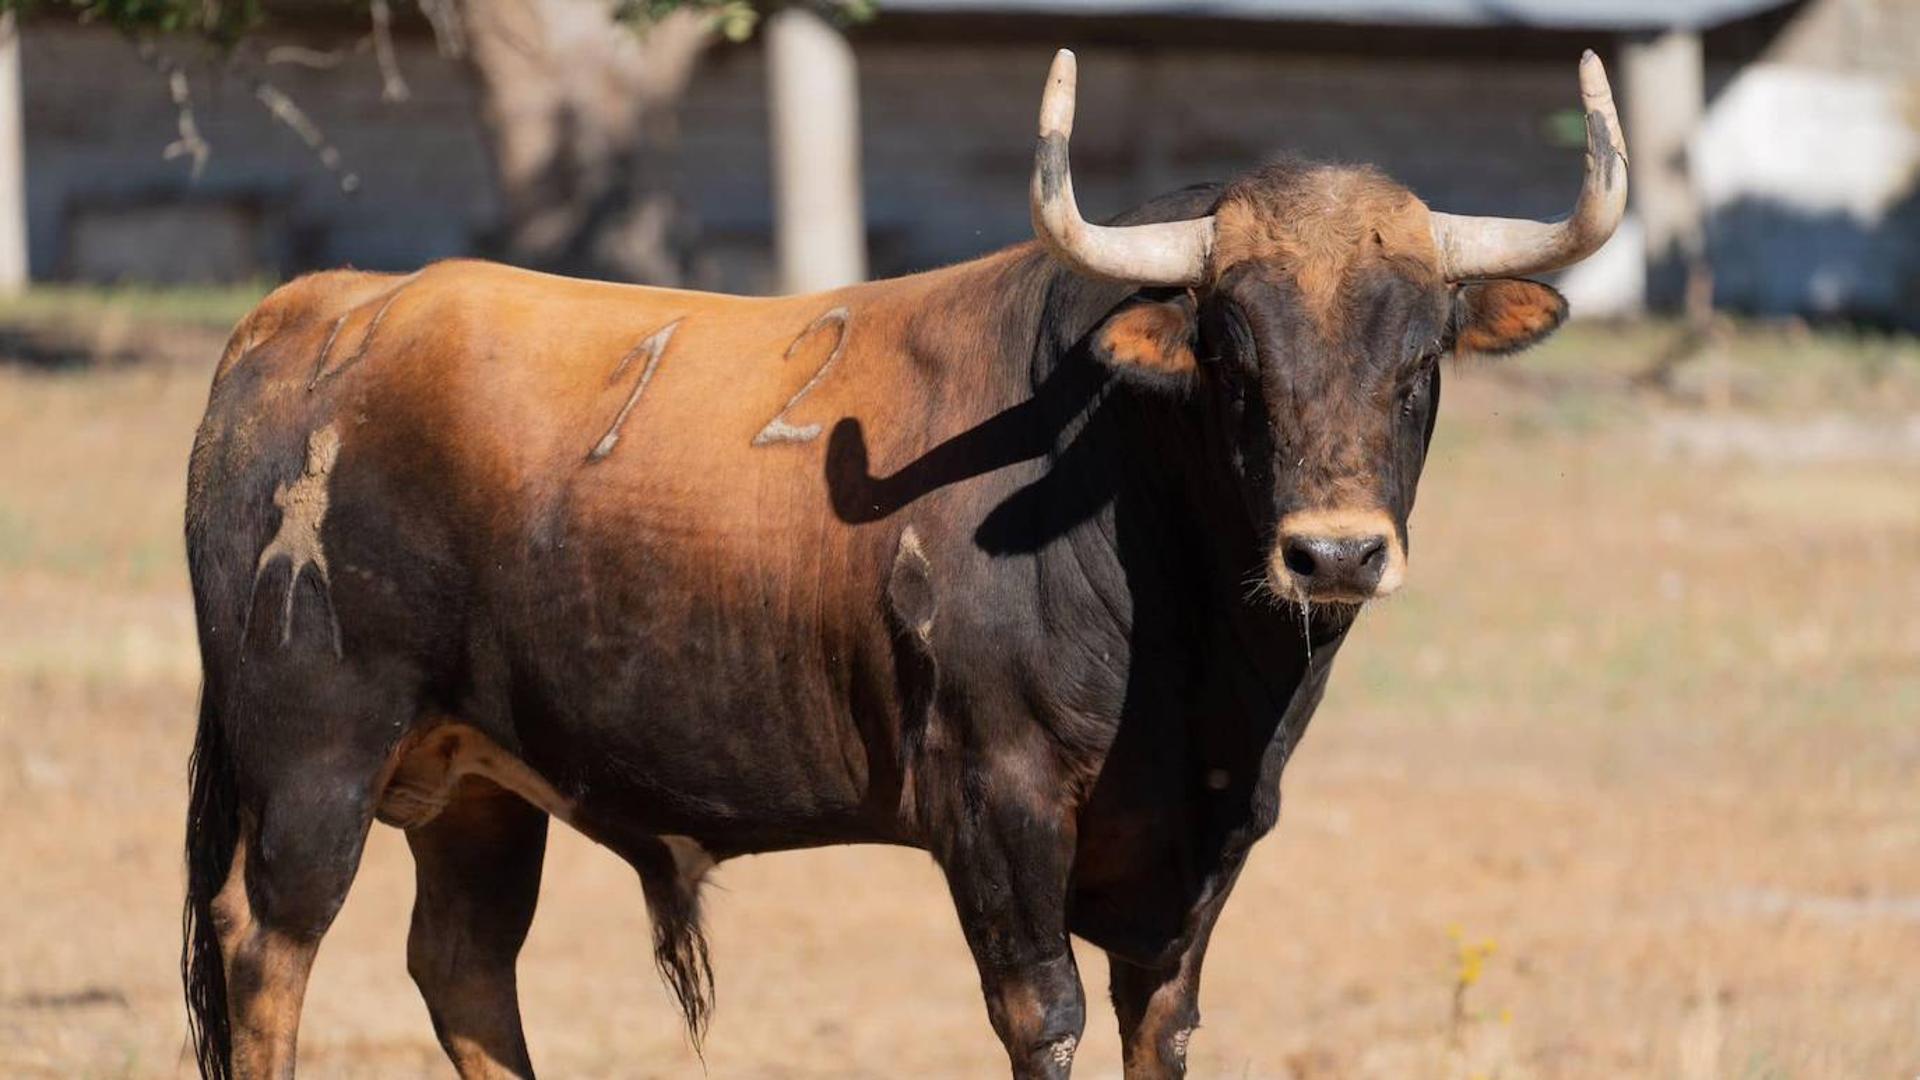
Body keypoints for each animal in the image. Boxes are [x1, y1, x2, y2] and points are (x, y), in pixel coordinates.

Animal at [180, 48, 1628, 1076]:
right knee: (269, 947)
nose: (1334, 550)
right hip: (313, 754)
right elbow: (1043, 1016)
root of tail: (322, 312)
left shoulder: (1203, 852)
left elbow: (1159, 1024)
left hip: (479, 783)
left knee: (466, 969)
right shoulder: (994, 801)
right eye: (1230, 359)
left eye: (1421, 361)